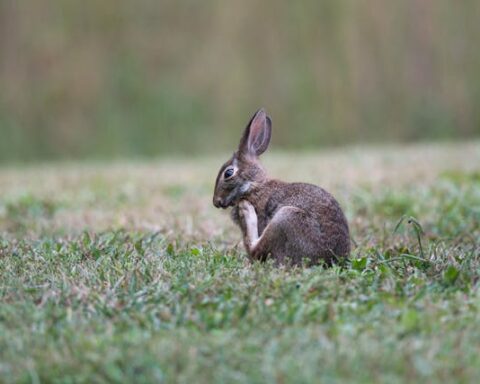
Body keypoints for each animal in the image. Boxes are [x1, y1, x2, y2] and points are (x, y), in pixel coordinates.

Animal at [213, 106, 348, 266]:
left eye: (228, 173)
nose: (216, 202)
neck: (254, 186)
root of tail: (331, 260)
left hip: (286, 218)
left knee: (254, 250)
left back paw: (246, 210)